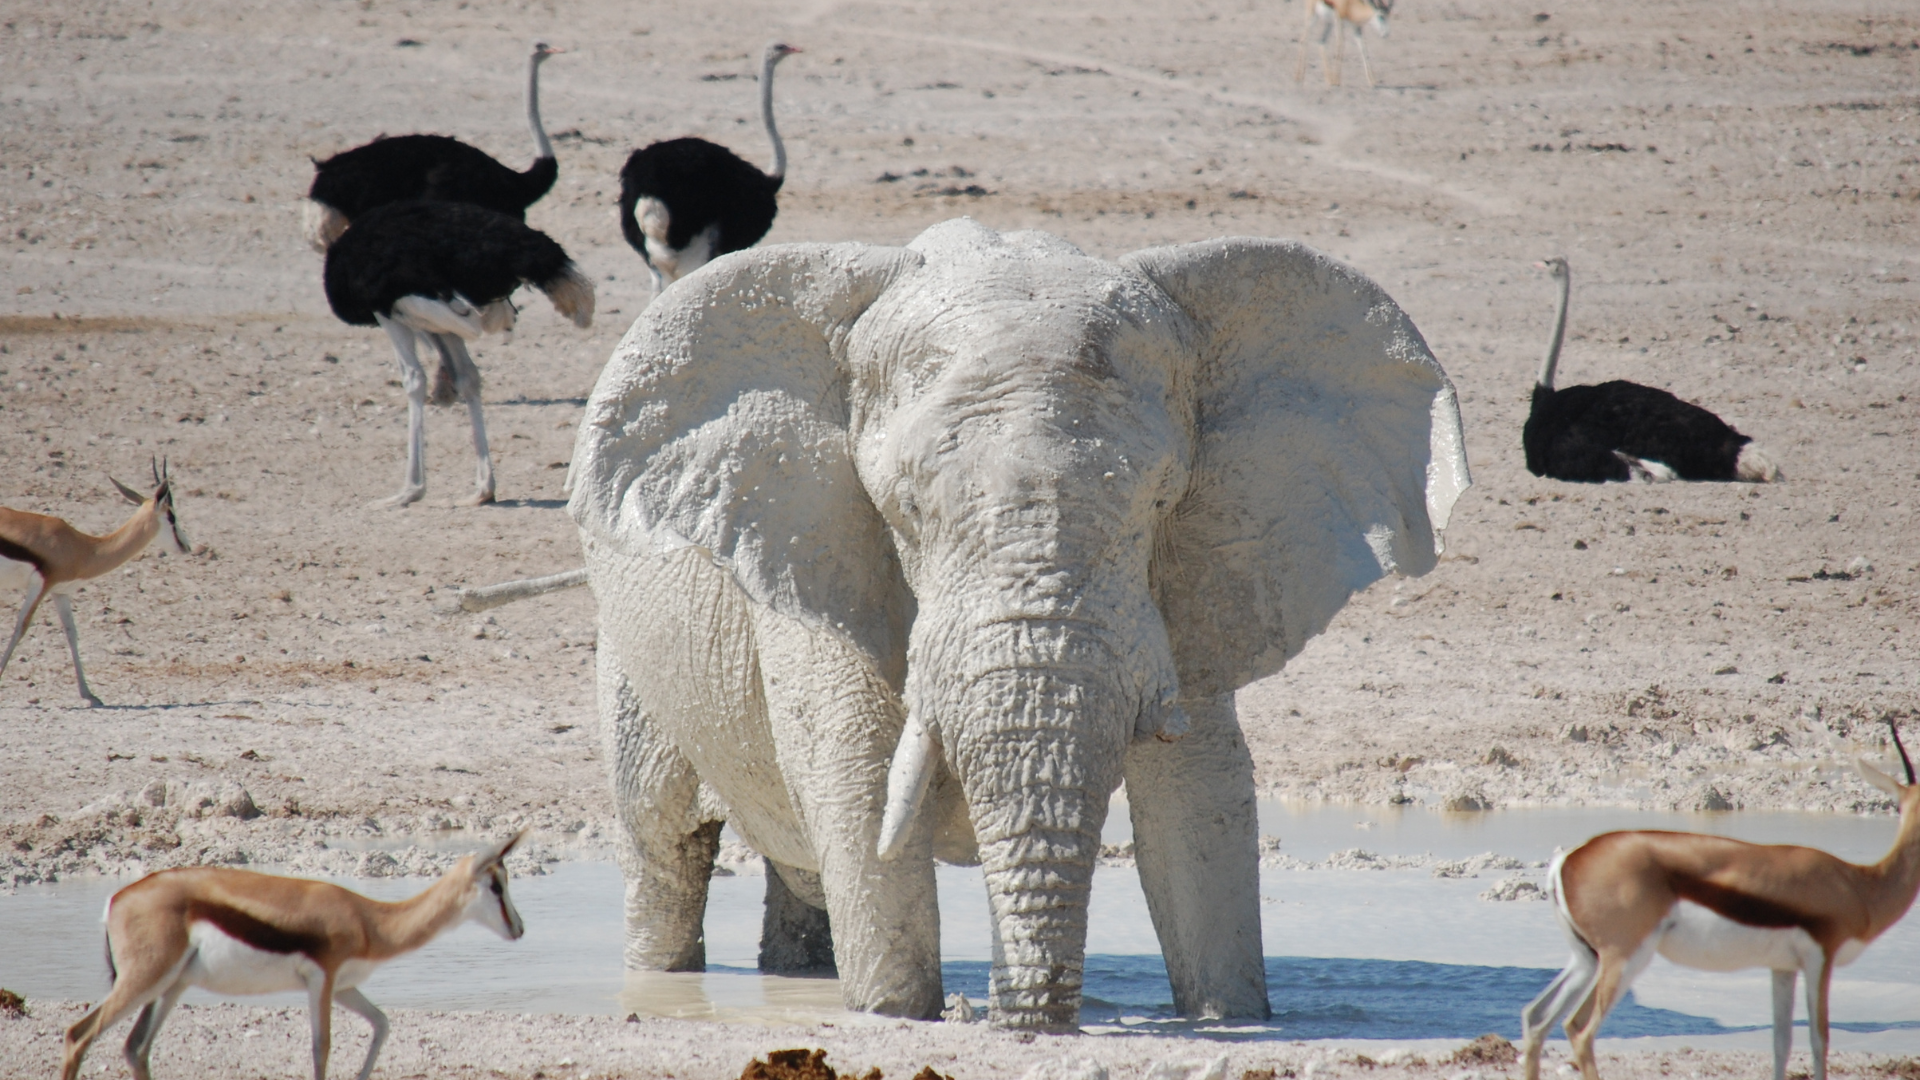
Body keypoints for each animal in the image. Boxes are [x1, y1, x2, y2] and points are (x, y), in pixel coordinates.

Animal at [568, 216, 1466, 1022]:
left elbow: (1198, 798)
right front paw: (896, 1017)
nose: (1018, 1016)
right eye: (906, 509)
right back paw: (662, 982)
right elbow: (857, 782)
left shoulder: (1186, 590)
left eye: (1161, 501)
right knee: (665, 845)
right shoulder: (815, 547)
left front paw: (1230, 1020)